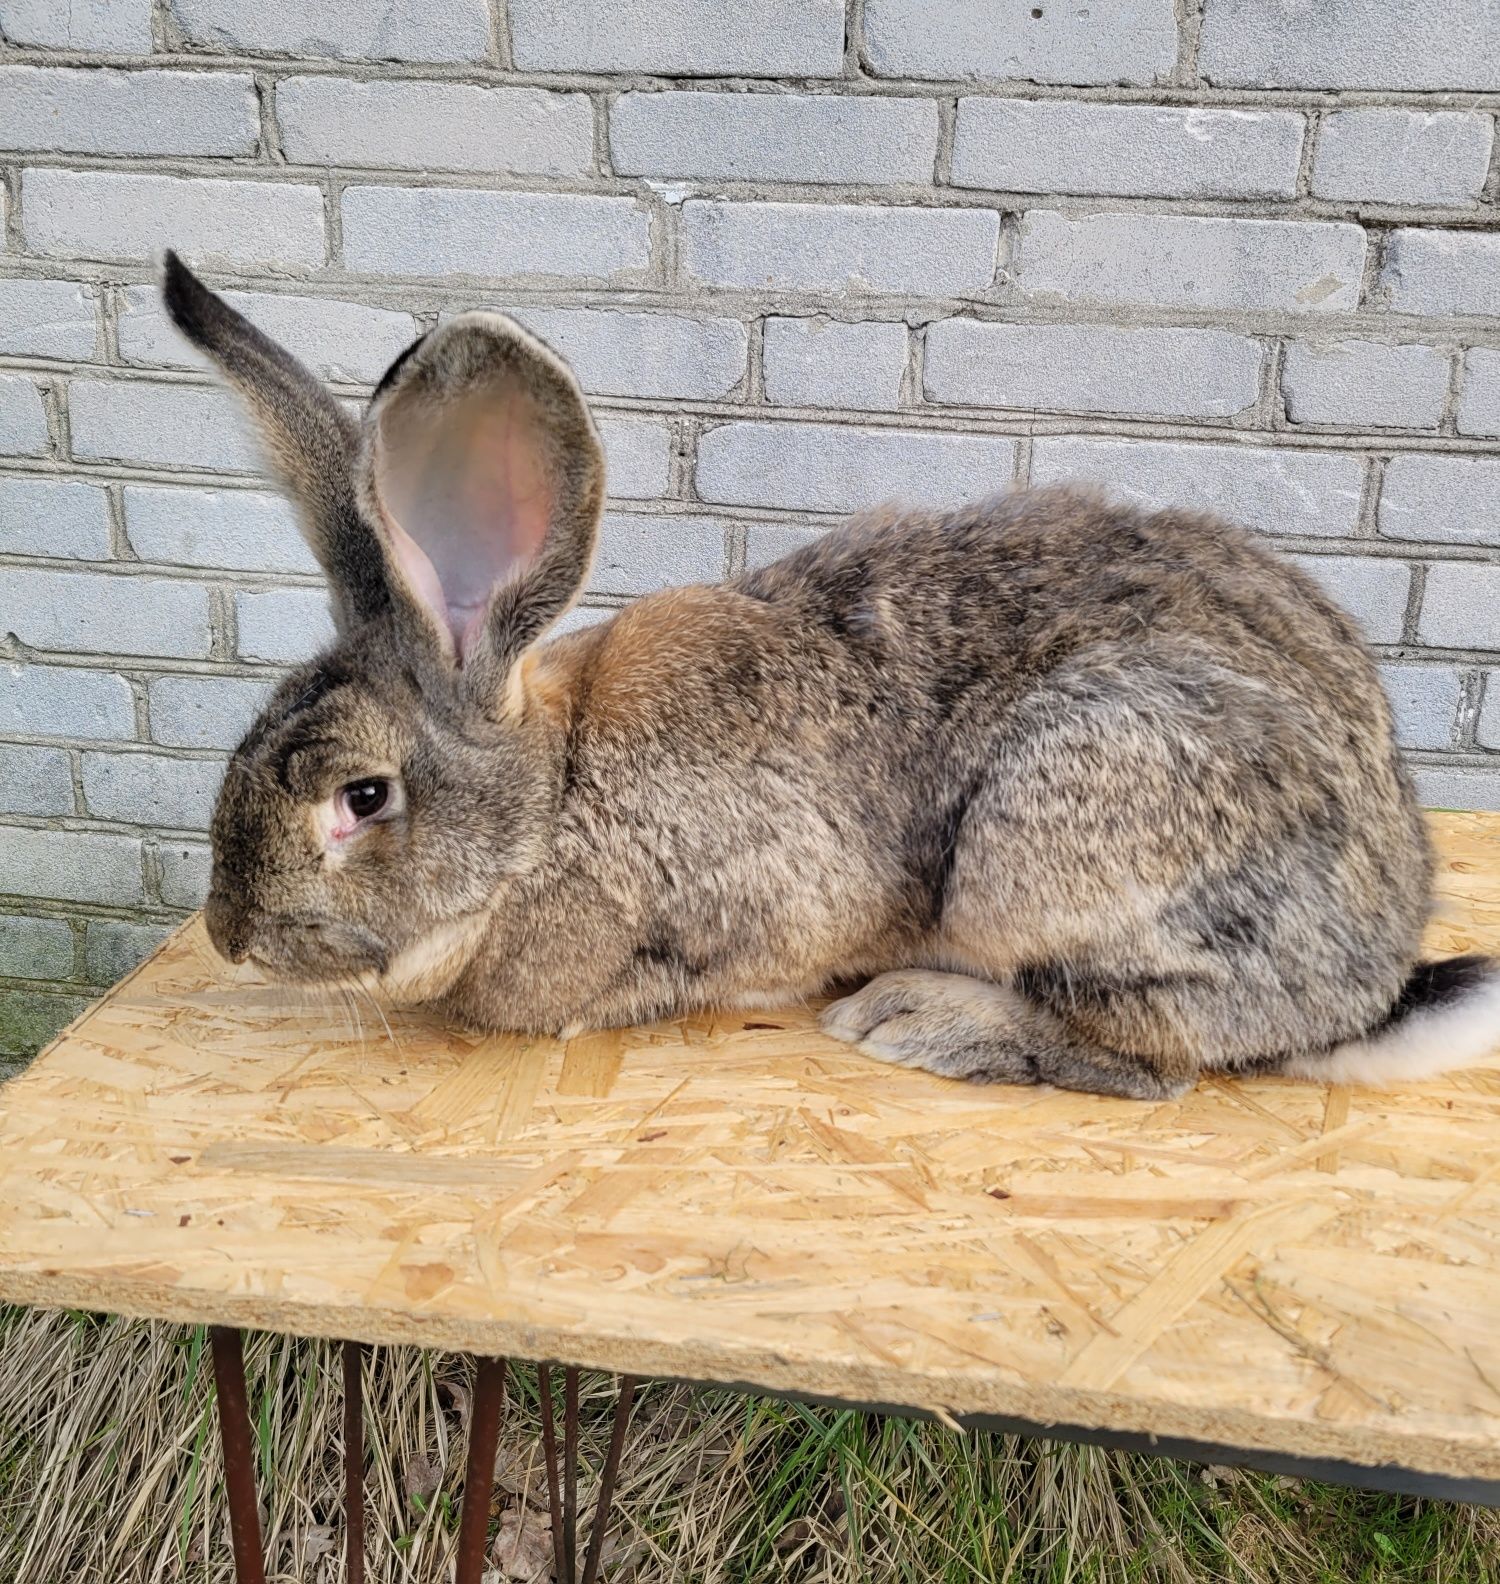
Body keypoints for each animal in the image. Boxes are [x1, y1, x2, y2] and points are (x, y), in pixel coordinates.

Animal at [161, 256, 1500, 1102]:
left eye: (363, 798)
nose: (227, 933)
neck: (553, 801)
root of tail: (1377, 967)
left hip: (1050, 835)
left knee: (1161, 1057)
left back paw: (927, 1021)